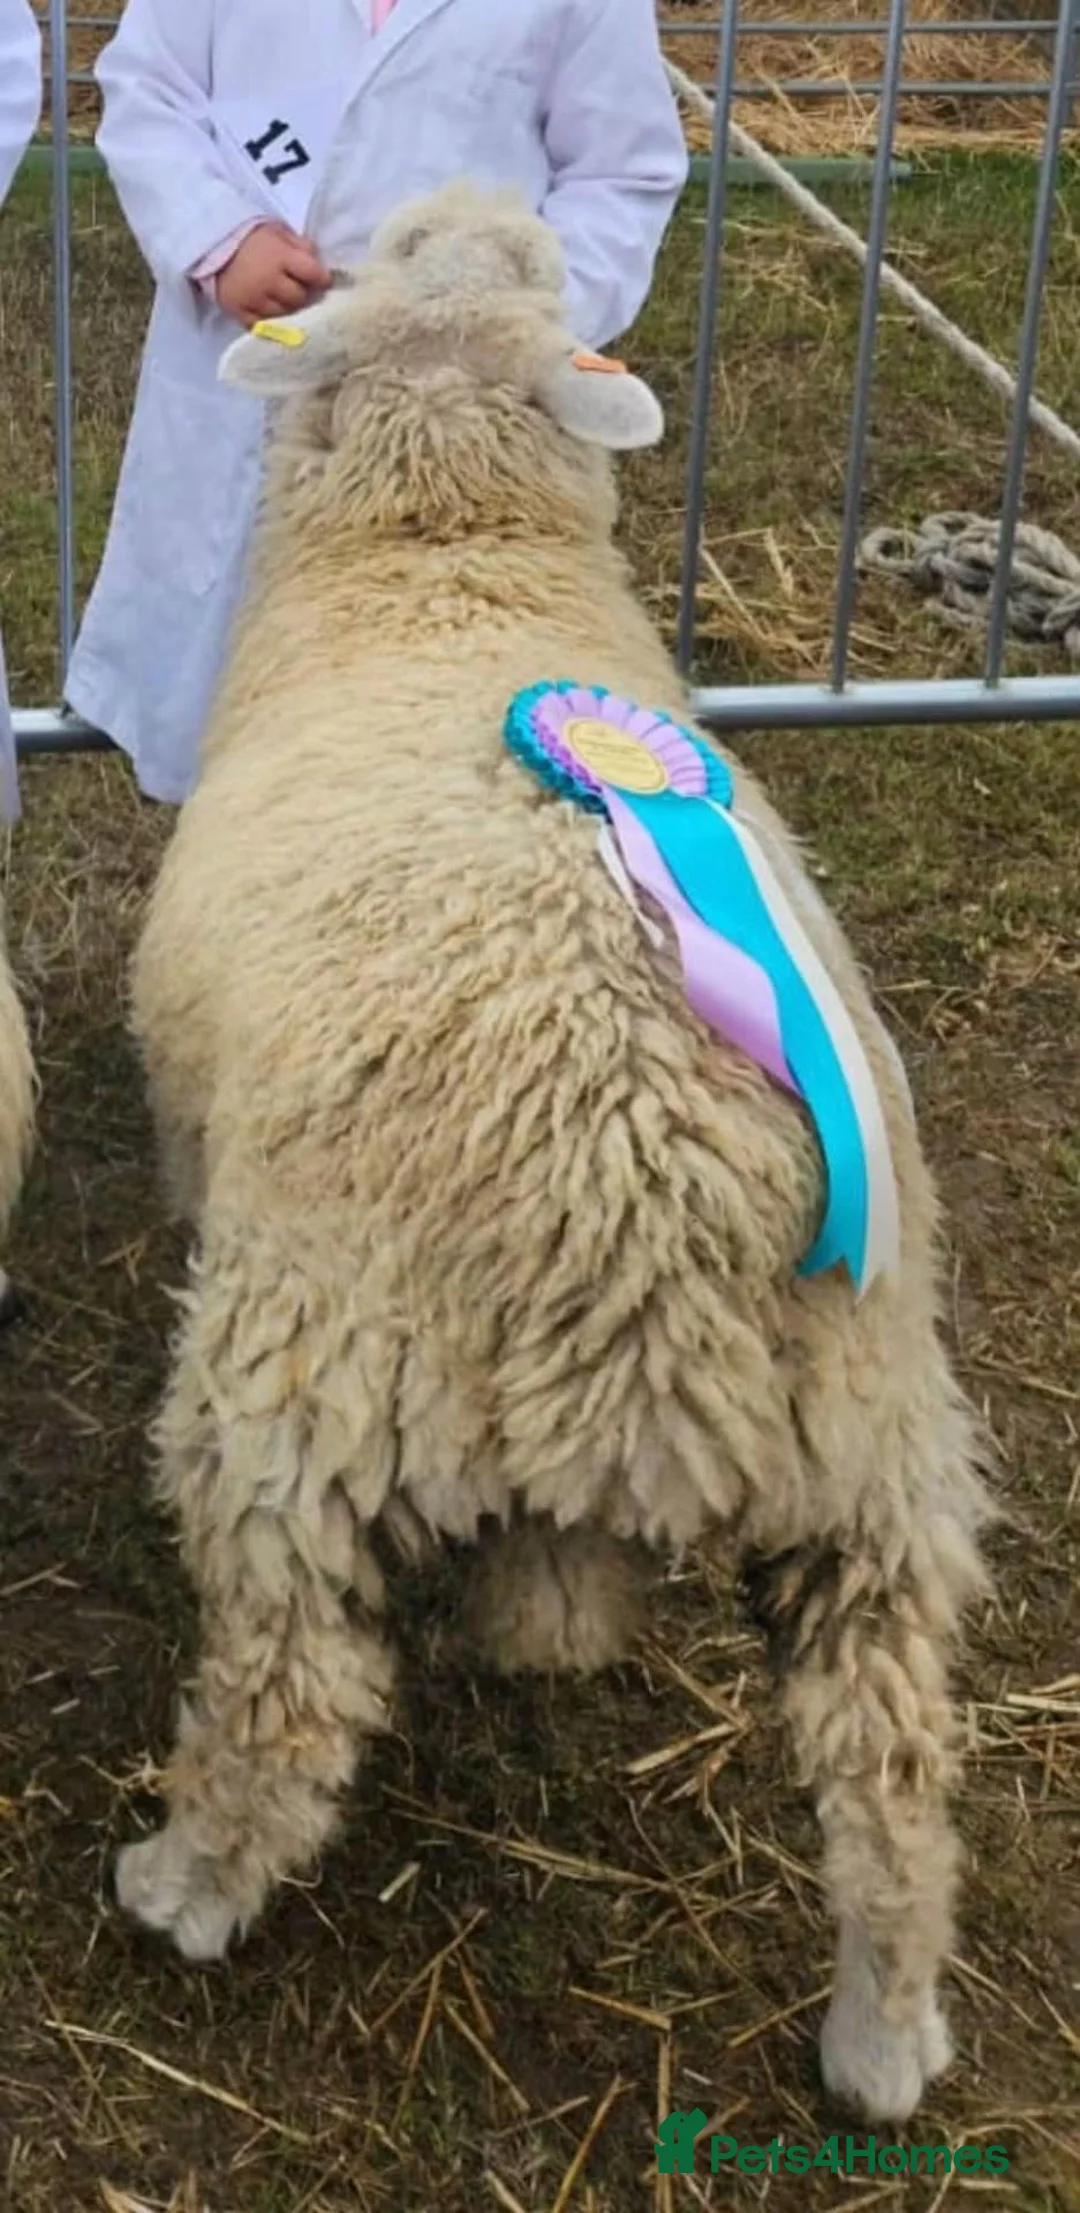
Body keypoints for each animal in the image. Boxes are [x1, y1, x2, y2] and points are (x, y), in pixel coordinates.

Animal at [116, 180, 993, 2126]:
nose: (482, 200)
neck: (447, 555)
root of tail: (652, 1202)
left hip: (296, 1401)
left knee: (289, 1697)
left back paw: (182, 1884)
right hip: (878, 1455)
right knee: (894, 1782)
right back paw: (883, 2042)